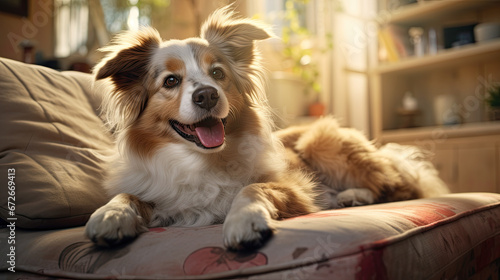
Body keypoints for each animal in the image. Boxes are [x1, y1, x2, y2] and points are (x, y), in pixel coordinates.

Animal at [83, 6, 450, 252]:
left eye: (217, 74)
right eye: (170, 81)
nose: (207, 95)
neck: (202, 159)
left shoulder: (294, 188)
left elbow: (251, 188)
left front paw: (244, 221)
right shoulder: (159, 193)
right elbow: (129, 195)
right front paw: (110, 215)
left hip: (321, 141)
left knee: (402, 187)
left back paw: (354, 195)